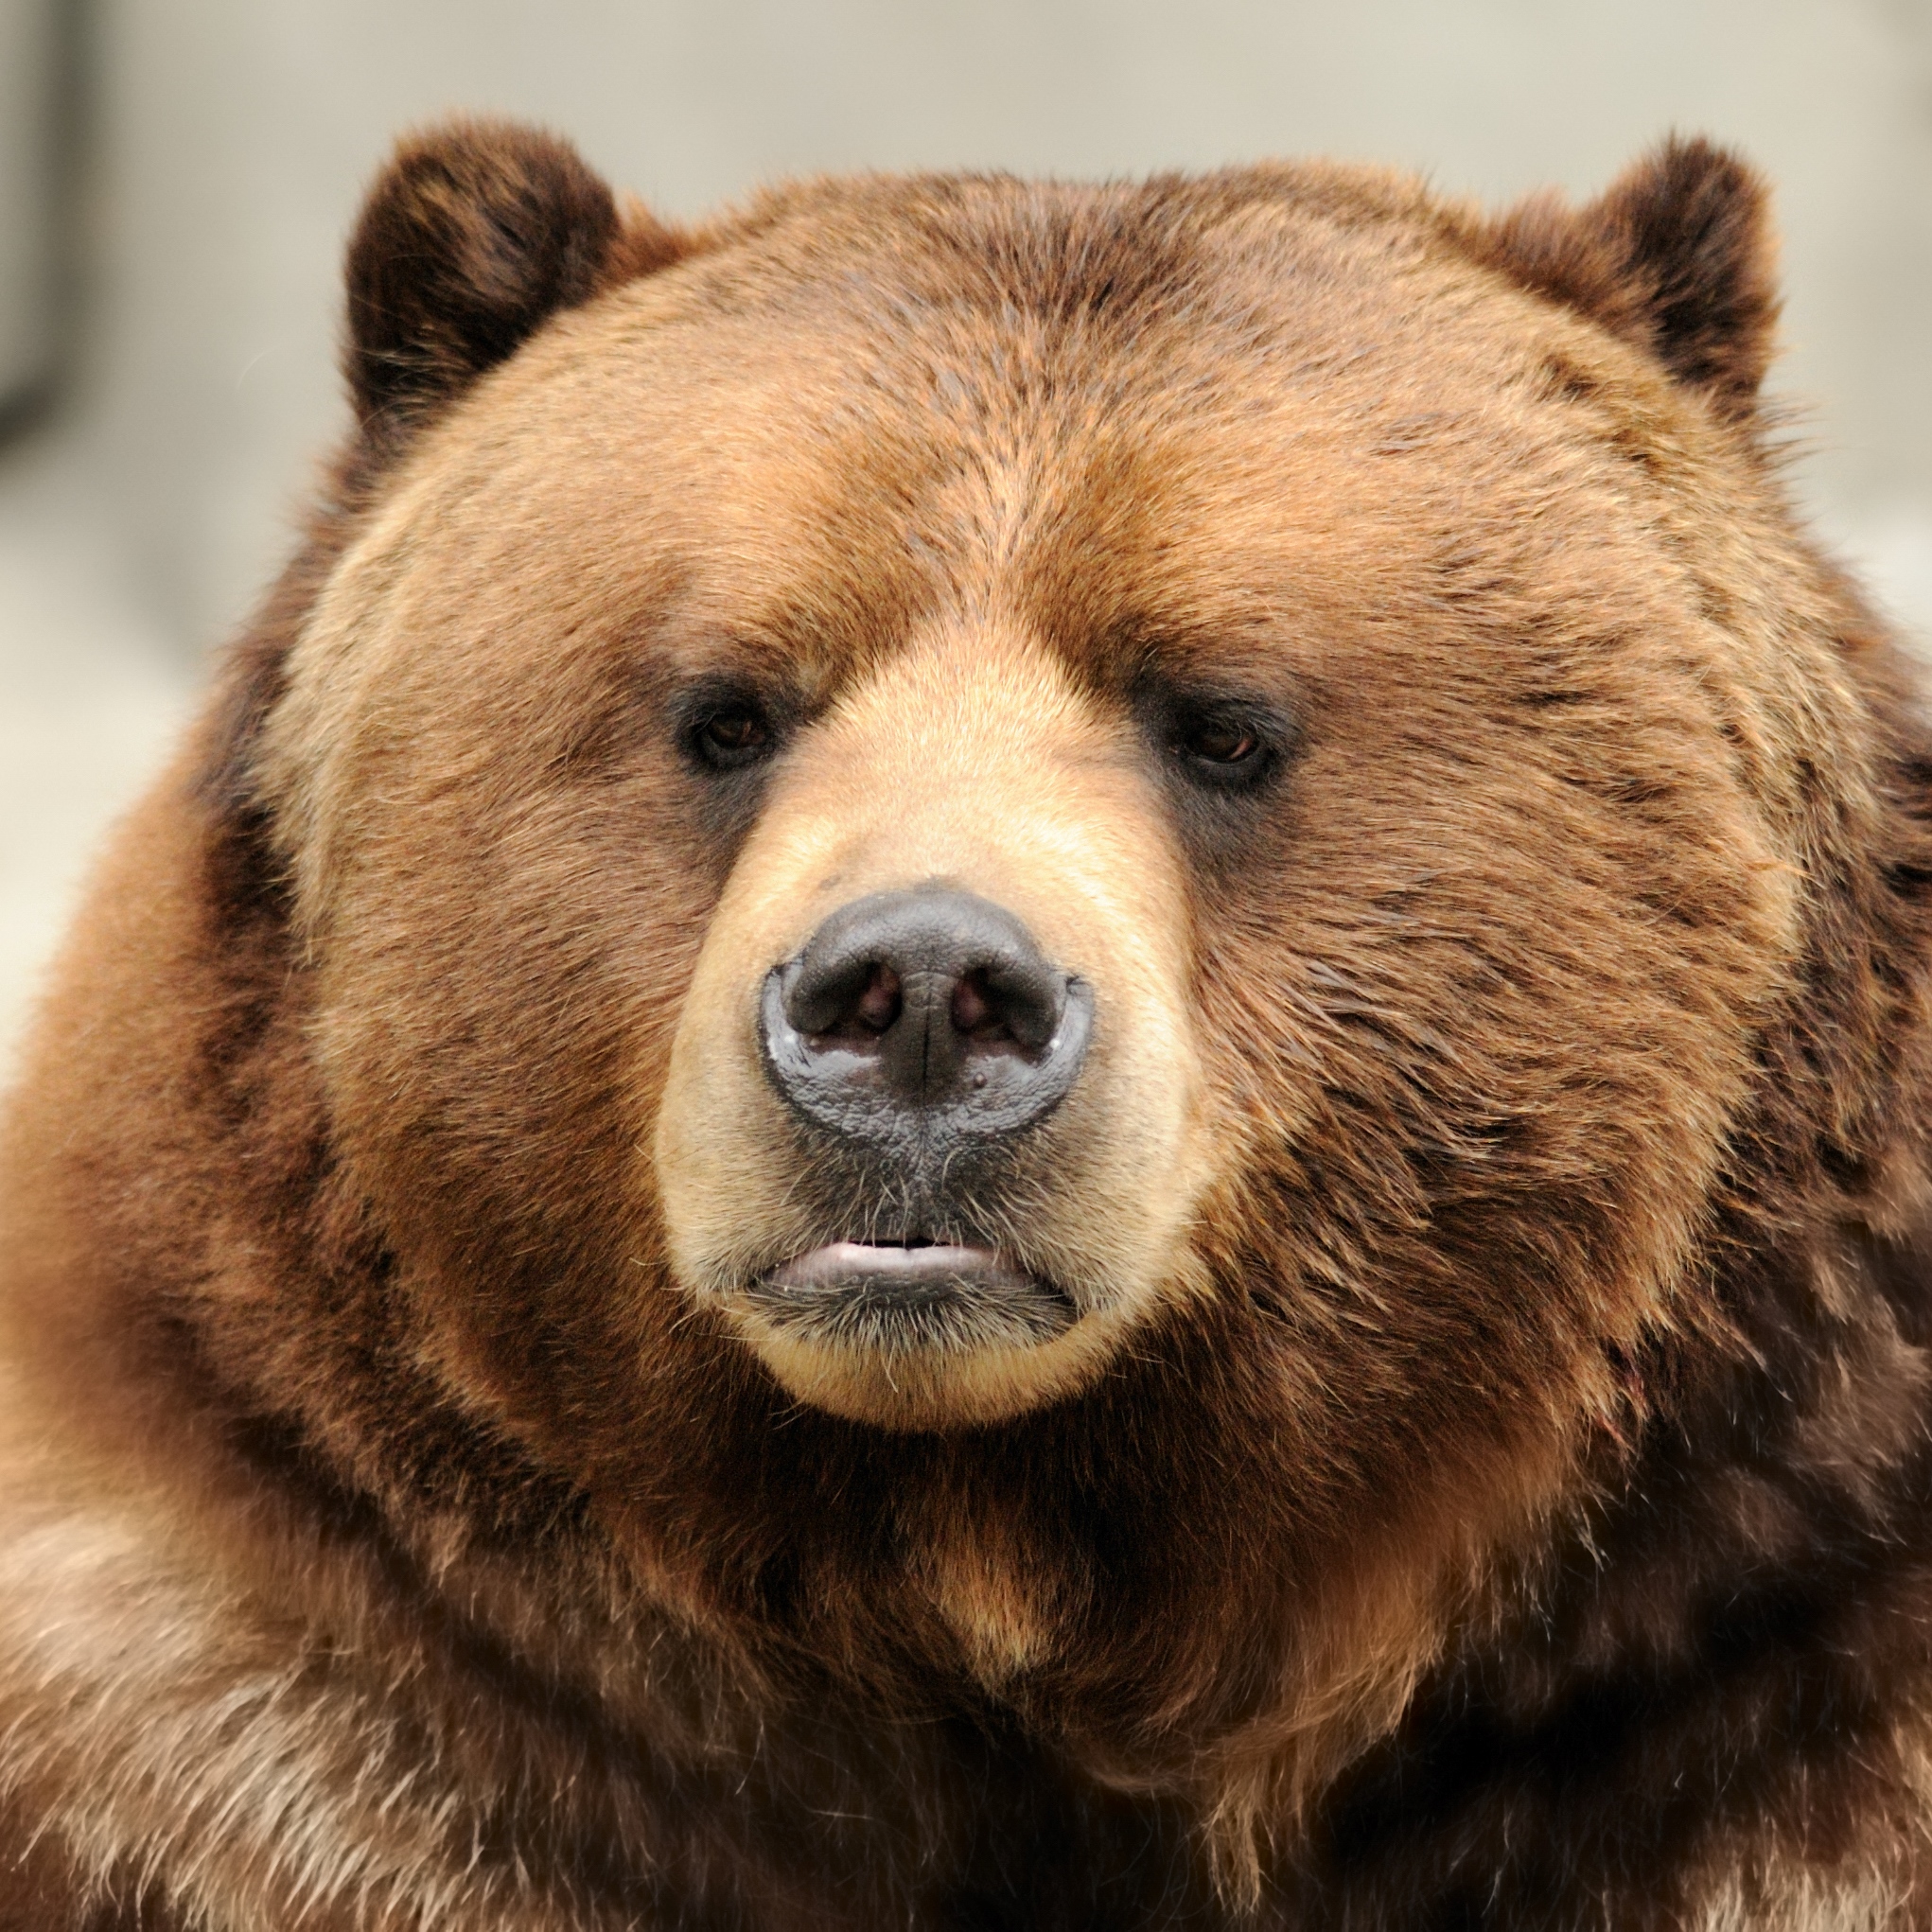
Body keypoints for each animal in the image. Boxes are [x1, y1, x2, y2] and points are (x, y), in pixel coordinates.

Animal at [3, 120, 1932, 1932]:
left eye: (1220, 719)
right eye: (727, 710)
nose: (921, 994)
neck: (990, 1563)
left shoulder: (1750, 1721)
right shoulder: (314, 1733)